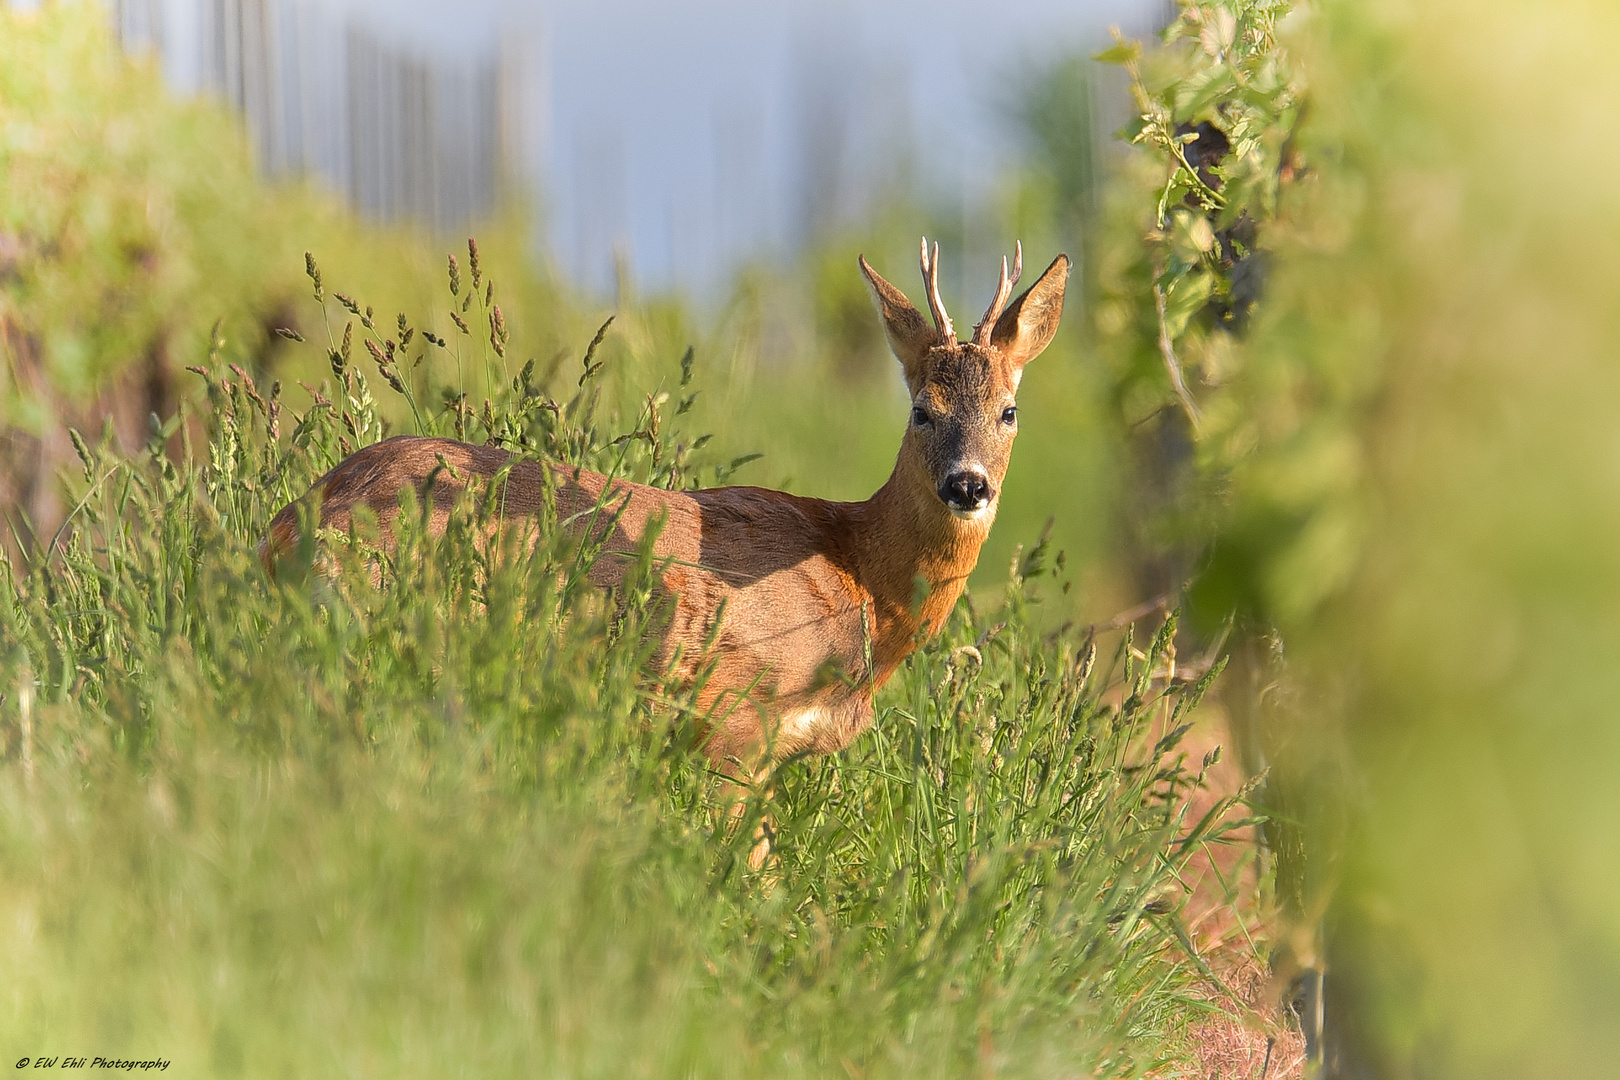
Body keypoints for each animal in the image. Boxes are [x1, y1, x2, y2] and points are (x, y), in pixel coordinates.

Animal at [260, 241, 1069, 773]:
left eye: (1009, 411)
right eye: (921, 410)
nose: (967, 485)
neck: (858, 576)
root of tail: (290, 525)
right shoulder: (734, 721)